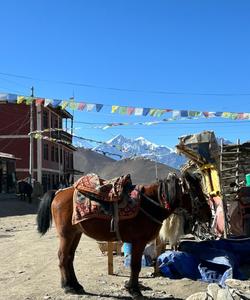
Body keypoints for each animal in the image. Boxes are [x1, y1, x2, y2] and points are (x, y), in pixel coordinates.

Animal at [36, 172, 210, 298]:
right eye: (195, 191)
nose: (208, 213)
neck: (150, 203)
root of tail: (58, 192)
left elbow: (134, 265)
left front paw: (130, 287)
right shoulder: (139, 241)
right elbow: (135, 266)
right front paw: (135, 290)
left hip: (76, 234)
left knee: (69, 258)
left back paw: (76, 285)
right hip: (66, 235)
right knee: (62, 257)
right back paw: (67, 286)